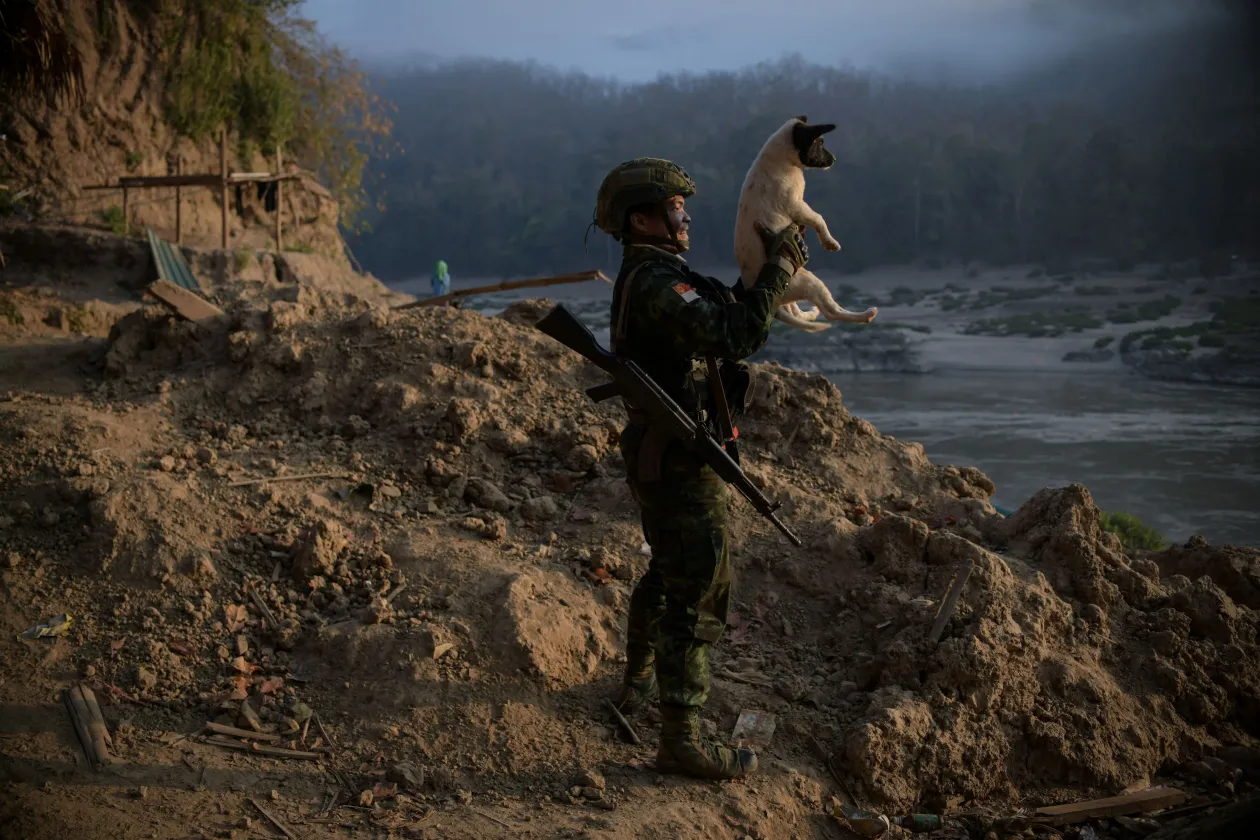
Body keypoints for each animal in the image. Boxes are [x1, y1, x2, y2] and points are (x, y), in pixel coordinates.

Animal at [735, 115, 876, 332]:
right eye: (820, 143)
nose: (834, 160)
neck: (780, 158)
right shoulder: (797, 206)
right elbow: (819, 218)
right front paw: (830, 242)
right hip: (808, 281)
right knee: (830, 311)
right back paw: (866, 314)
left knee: (796, 310)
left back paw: (810, 313)